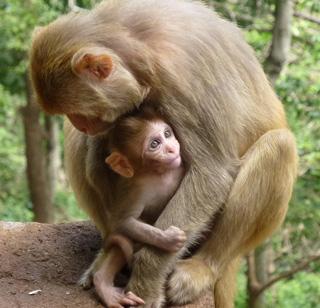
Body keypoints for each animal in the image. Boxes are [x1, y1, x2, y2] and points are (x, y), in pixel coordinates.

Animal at [98, 109, 188, 306]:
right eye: (155, 144)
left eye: (167, 133)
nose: (172, 148)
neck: (162, 173)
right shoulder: (137, 188)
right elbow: (123, 222)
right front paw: (168, 238)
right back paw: (103, 283)